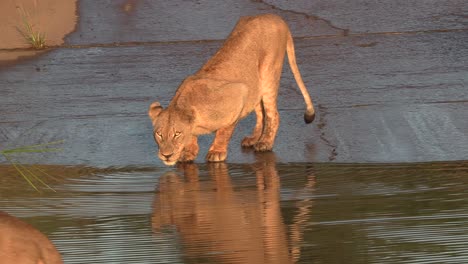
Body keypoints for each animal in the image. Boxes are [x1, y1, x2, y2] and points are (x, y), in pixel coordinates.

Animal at [149, 13, 314, 165]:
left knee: (273, 114)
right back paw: (253, 139)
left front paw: (216, 152)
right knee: (261, 113)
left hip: (268, 75)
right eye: (159, 134)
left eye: (177, 134)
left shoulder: (239, 93)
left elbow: (224, 130)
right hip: (255, 85)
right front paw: (189, 152)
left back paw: (265, 142)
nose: (166, 155)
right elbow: (192, 138)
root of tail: (275, 17)